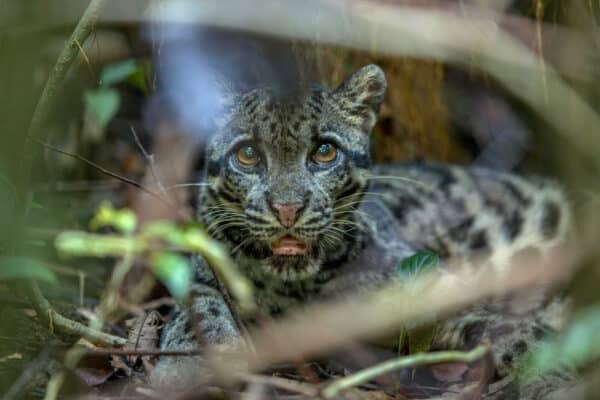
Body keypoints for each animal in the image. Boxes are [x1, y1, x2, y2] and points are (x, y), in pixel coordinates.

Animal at [150, 65, 572, 396]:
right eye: (248, 154)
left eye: (324, 152)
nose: (288, 209)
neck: (296, 289)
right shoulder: (205, 267)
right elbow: (196, 309)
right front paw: (182, 369)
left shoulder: (434, 283)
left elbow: (515, 328)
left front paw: (553, 374)